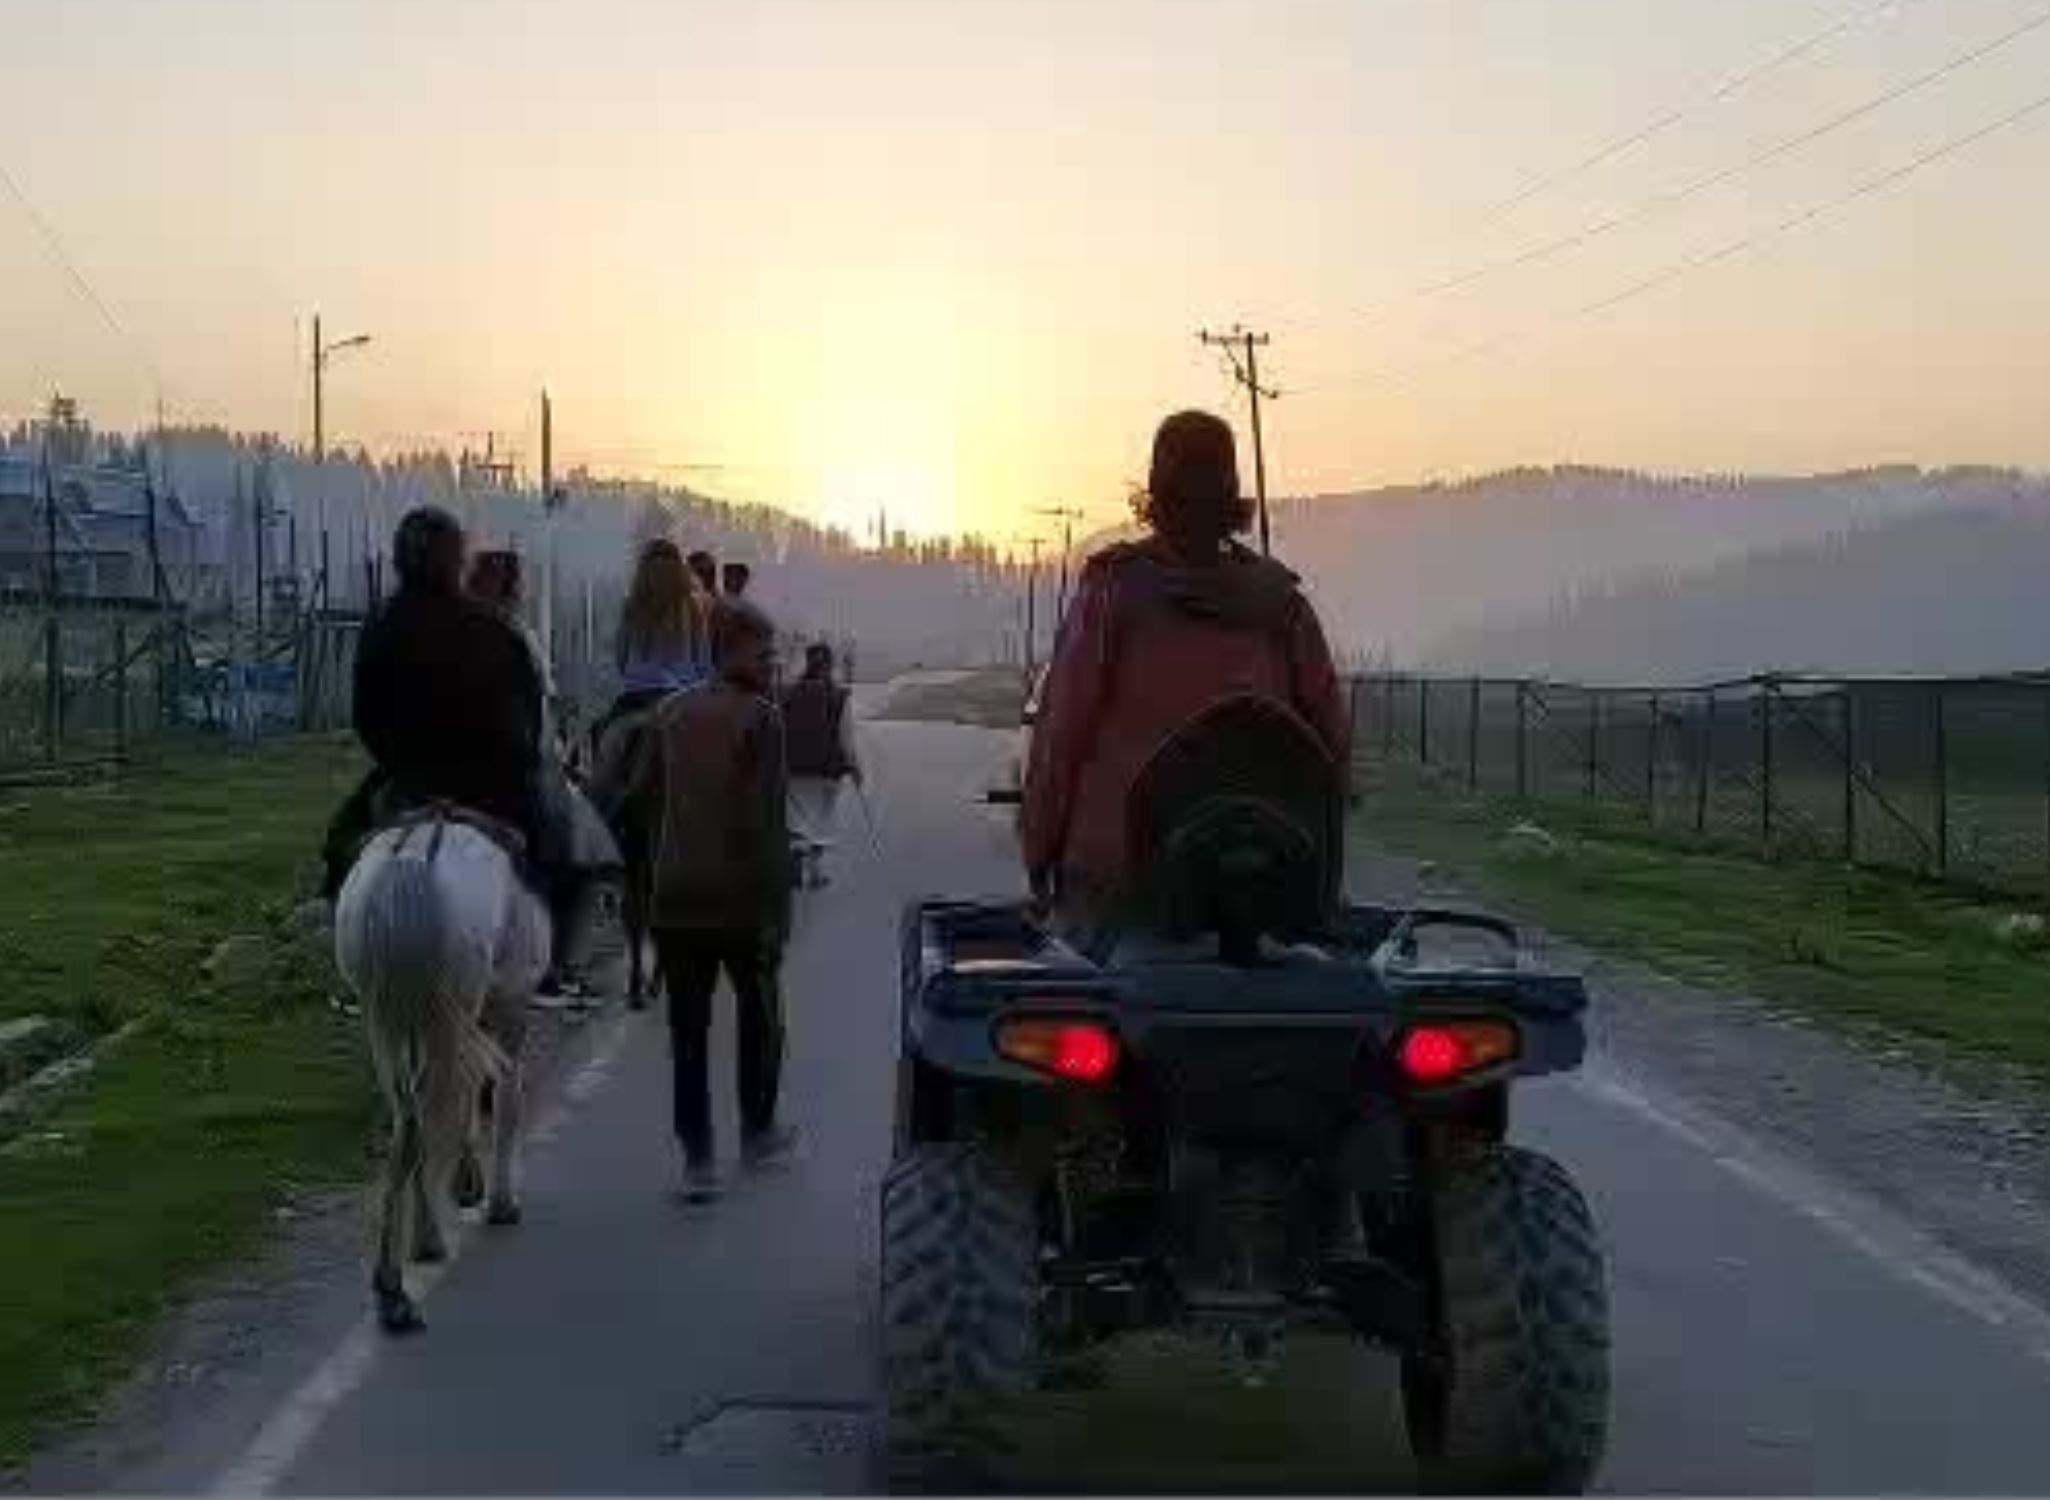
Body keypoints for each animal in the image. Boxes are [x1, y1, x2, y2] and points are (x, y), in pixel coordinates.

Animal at [332, 807, 549, 1336]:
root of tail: (409, 863)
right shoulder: (510, 1009)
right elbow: (503, 1100)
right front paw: (498, 1201)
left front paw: (469, 1184)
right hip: (447, 1015)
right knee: (427, 1120)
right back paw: (398, 1287)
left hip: (388, 1022)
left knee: (408, 1123)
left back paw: (410, 1261)